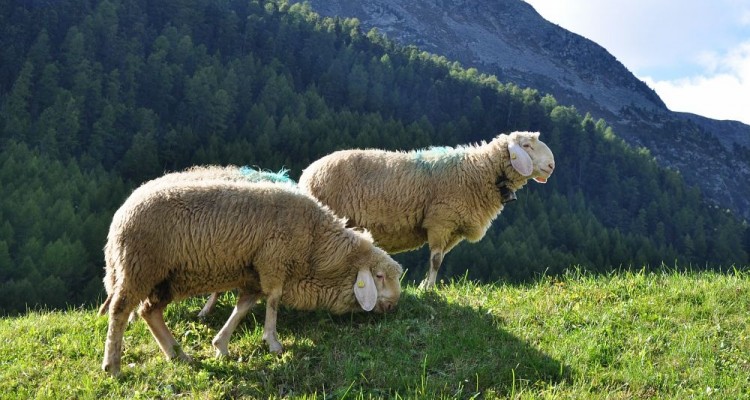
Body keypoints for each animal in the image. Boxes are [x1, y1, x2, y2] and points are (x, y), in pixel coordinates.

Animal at [98, 178, 403, 376]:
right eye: (378, 276)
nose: (393, 307)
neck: (316, 245)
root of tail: (120, 215)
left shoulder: (253, 273)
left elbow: (243, 306)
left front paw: (220, 345)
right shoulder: (274, 261)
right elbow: (273, 301)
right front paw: (273, 343)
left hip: (165, 278)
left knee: (150, 312)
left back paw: (177, 354)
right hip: (139, 268)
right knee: (120, 310)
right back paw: (113, 365)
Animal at [298, 131, 555, 290]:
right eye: (526, 146)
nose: (552, 165)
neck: (479, 171)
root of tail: (306, 175)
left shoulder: (454, 230)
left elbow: (439, 259)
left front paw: (424, 285)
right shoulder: (441, 220)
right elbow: (436, 260)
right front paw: (429, 289)